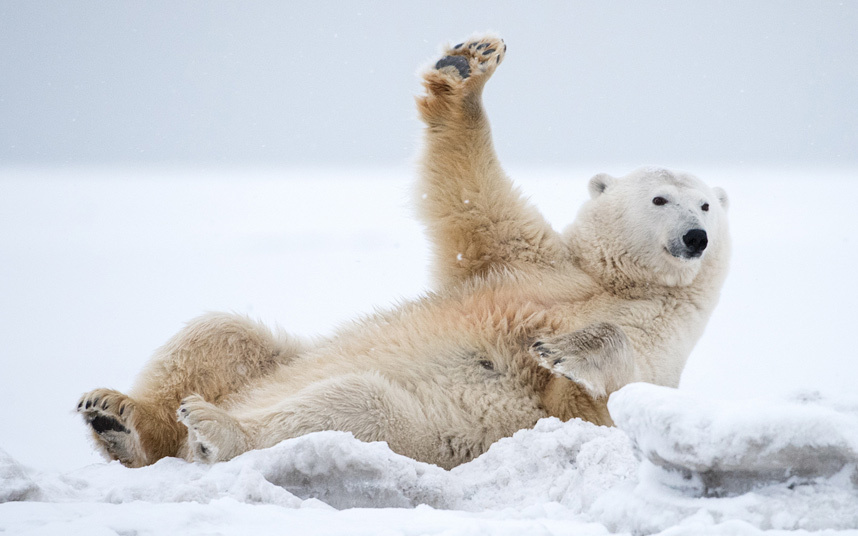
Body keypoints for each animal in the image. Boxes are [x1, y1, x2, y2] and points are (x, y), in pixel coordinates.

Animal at [77, 34, 724, 468]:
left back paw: (214, 427)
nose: (696, 237)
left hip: (423, 429)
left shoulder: (659, 339)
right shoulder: (523, 259)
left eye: (707, 205)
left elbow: (598, 401)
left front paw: (561, 347)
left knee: (354, 405)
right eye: (662, 197)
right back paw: (120, 415)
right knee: (218, 333)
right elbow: (468, 194)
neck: (612, 281)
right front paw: (468, 64)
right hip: (268, 361)